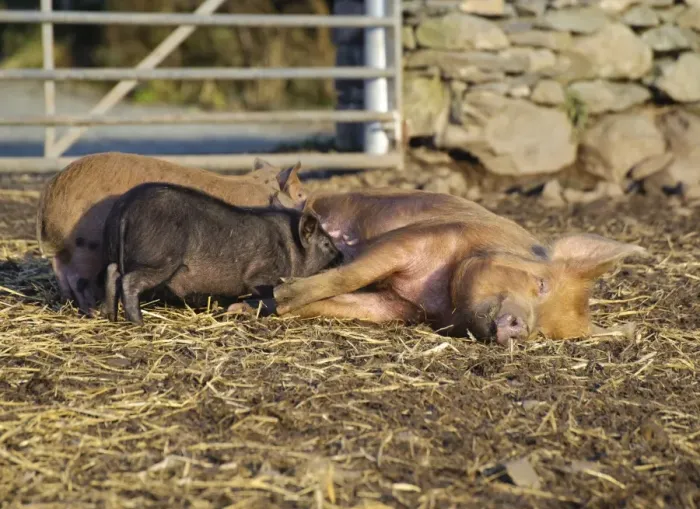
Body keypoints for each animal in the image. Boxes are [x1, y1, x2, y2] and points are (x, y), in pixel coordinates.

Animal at [35, 152, 307, 315]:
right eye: (301, 194)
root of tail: (51, 190)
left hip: (68, 249)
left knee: (61, 270)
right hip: (87, 246)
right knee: (78, 277)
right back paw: (92, 310)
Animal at [102, 182, 340, 325]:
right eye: (326, 243)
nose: (341, 256)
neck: (290, 245)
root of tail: (126, 207)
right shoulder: (262, 274)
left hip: (119, 253)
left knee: (112, 271)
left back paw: (111, 317)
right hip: (159, 258)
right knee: (128, 280)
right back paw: (139, 323)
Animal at [268, 188, 648, 345]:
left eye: (545, 334)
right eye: (542, 284)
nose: (520, 328)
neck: (442, 299)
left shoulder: (398, 306)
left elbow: (347, 303)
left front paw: (273, 304)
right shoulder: (417, 238)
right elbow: (351, 275)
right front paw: (280, 294)